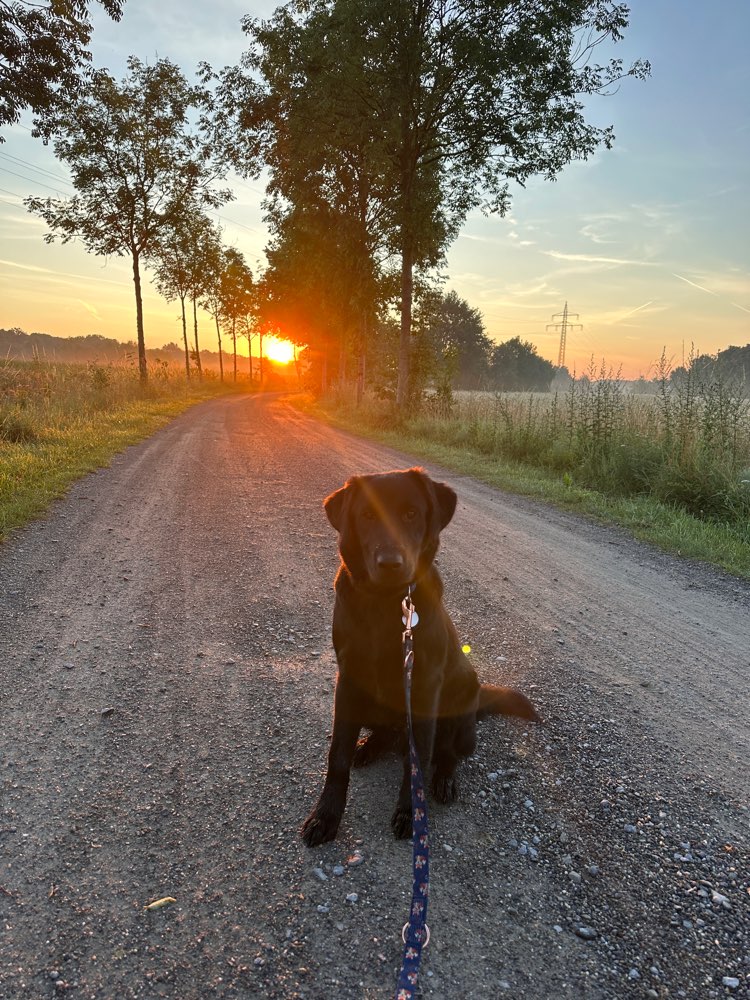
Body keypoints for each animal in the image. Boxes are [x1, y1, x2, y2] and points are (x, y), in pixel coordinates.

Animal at [302, 468, 540, 844]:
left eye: (411, 514)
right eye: (366, 516)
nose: (390, 564)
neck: (386, 603)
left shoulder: (425, 688)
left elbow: (418, 758)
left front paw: (410, 813)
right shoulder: (348, 681)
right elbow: (337, 755)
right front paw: (325, 816)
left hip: (461, 707)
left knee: (446, 753)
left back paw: (443, 779)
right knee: (388, 737)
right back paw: (368, 747)